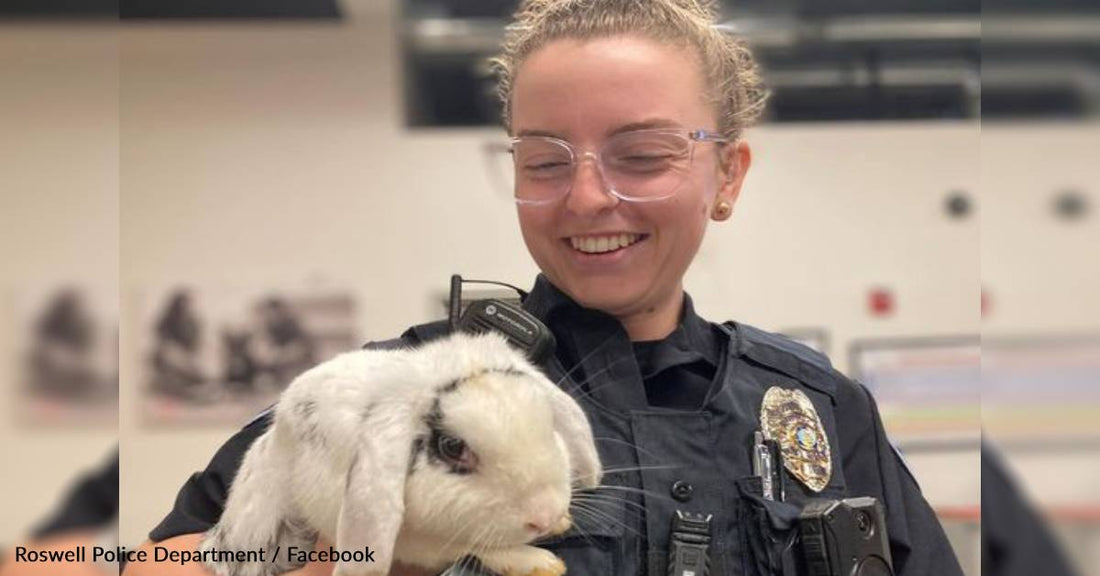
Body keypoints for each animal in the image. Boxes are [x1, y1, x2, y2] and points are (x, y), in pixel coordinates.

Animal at [202, 329, 607, 576]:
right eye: (453, 448)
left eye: (548, 423)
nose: (545, 514)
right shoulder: (425, 542)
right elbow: (480, 546)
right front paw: (540, 562)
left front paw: (561, 523)